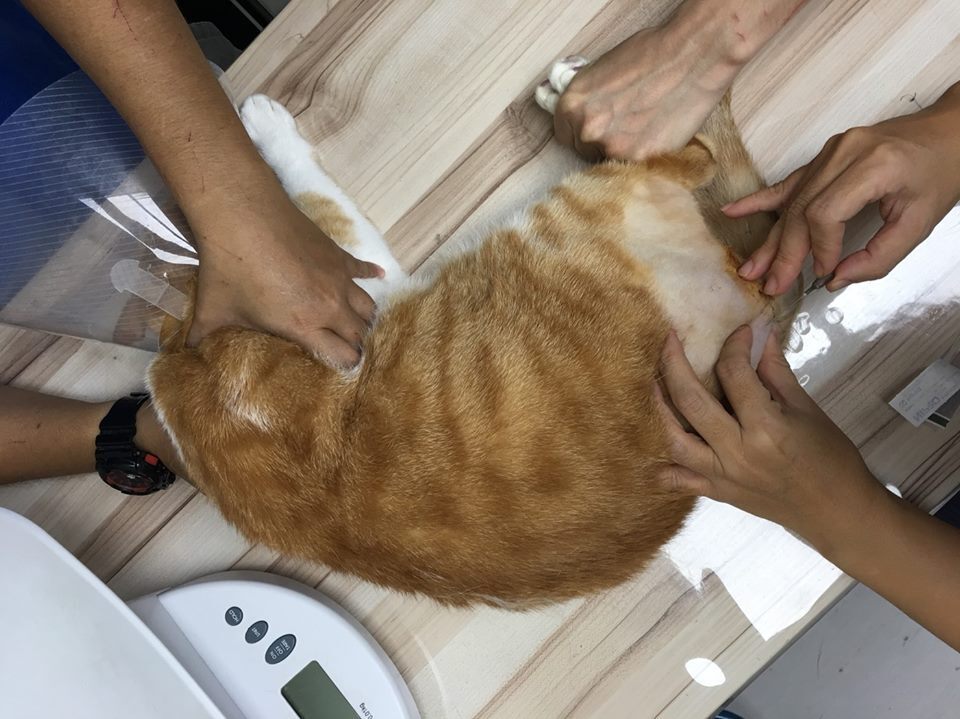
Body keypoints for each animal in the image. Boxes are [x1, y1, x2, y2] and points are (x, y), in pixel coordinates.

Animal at [149, 58, 794, 607]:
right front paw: (267, 127)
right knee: (688, 156)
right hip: (576, 205)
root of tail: (755, 294)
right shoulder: (361, 284)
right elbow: (313, 192)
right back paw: (569, 90)